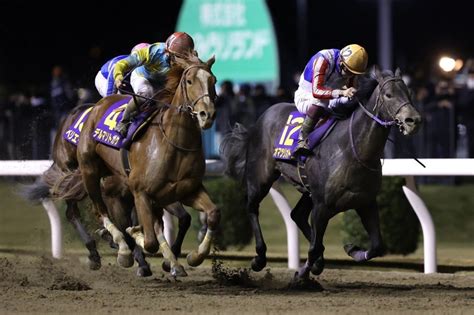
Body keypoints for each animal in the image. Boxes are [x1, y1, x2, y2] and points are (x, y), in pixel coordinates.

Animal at [72, 53, 218, 276]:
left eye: (213, 80)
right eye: (189, 80)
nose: (206, 114)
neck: (174, 142)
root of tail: (99, 104)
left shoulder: (188, 190)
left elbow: (212, 214)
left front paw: (195, 256)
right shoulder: (141, 193)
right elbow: (149, 241)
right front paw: (133, 236)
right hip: (90, 170)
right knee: (101, 211)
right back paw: (122, 249)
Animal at [221, 66, 422, 282]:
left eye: (409, 93)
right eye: (388, 94)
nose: (413, 120)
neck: (353, 150)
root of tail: (262, 117)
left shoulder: (365, 202)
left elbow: (376, 246)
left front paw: (351, 249)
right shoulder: (322, 206)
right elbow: (314, 247)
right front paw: (301, 274)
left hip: (307, 188)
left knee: (297, 215)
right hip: (261, 178)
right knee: (252, 207)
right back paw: (259, 257)